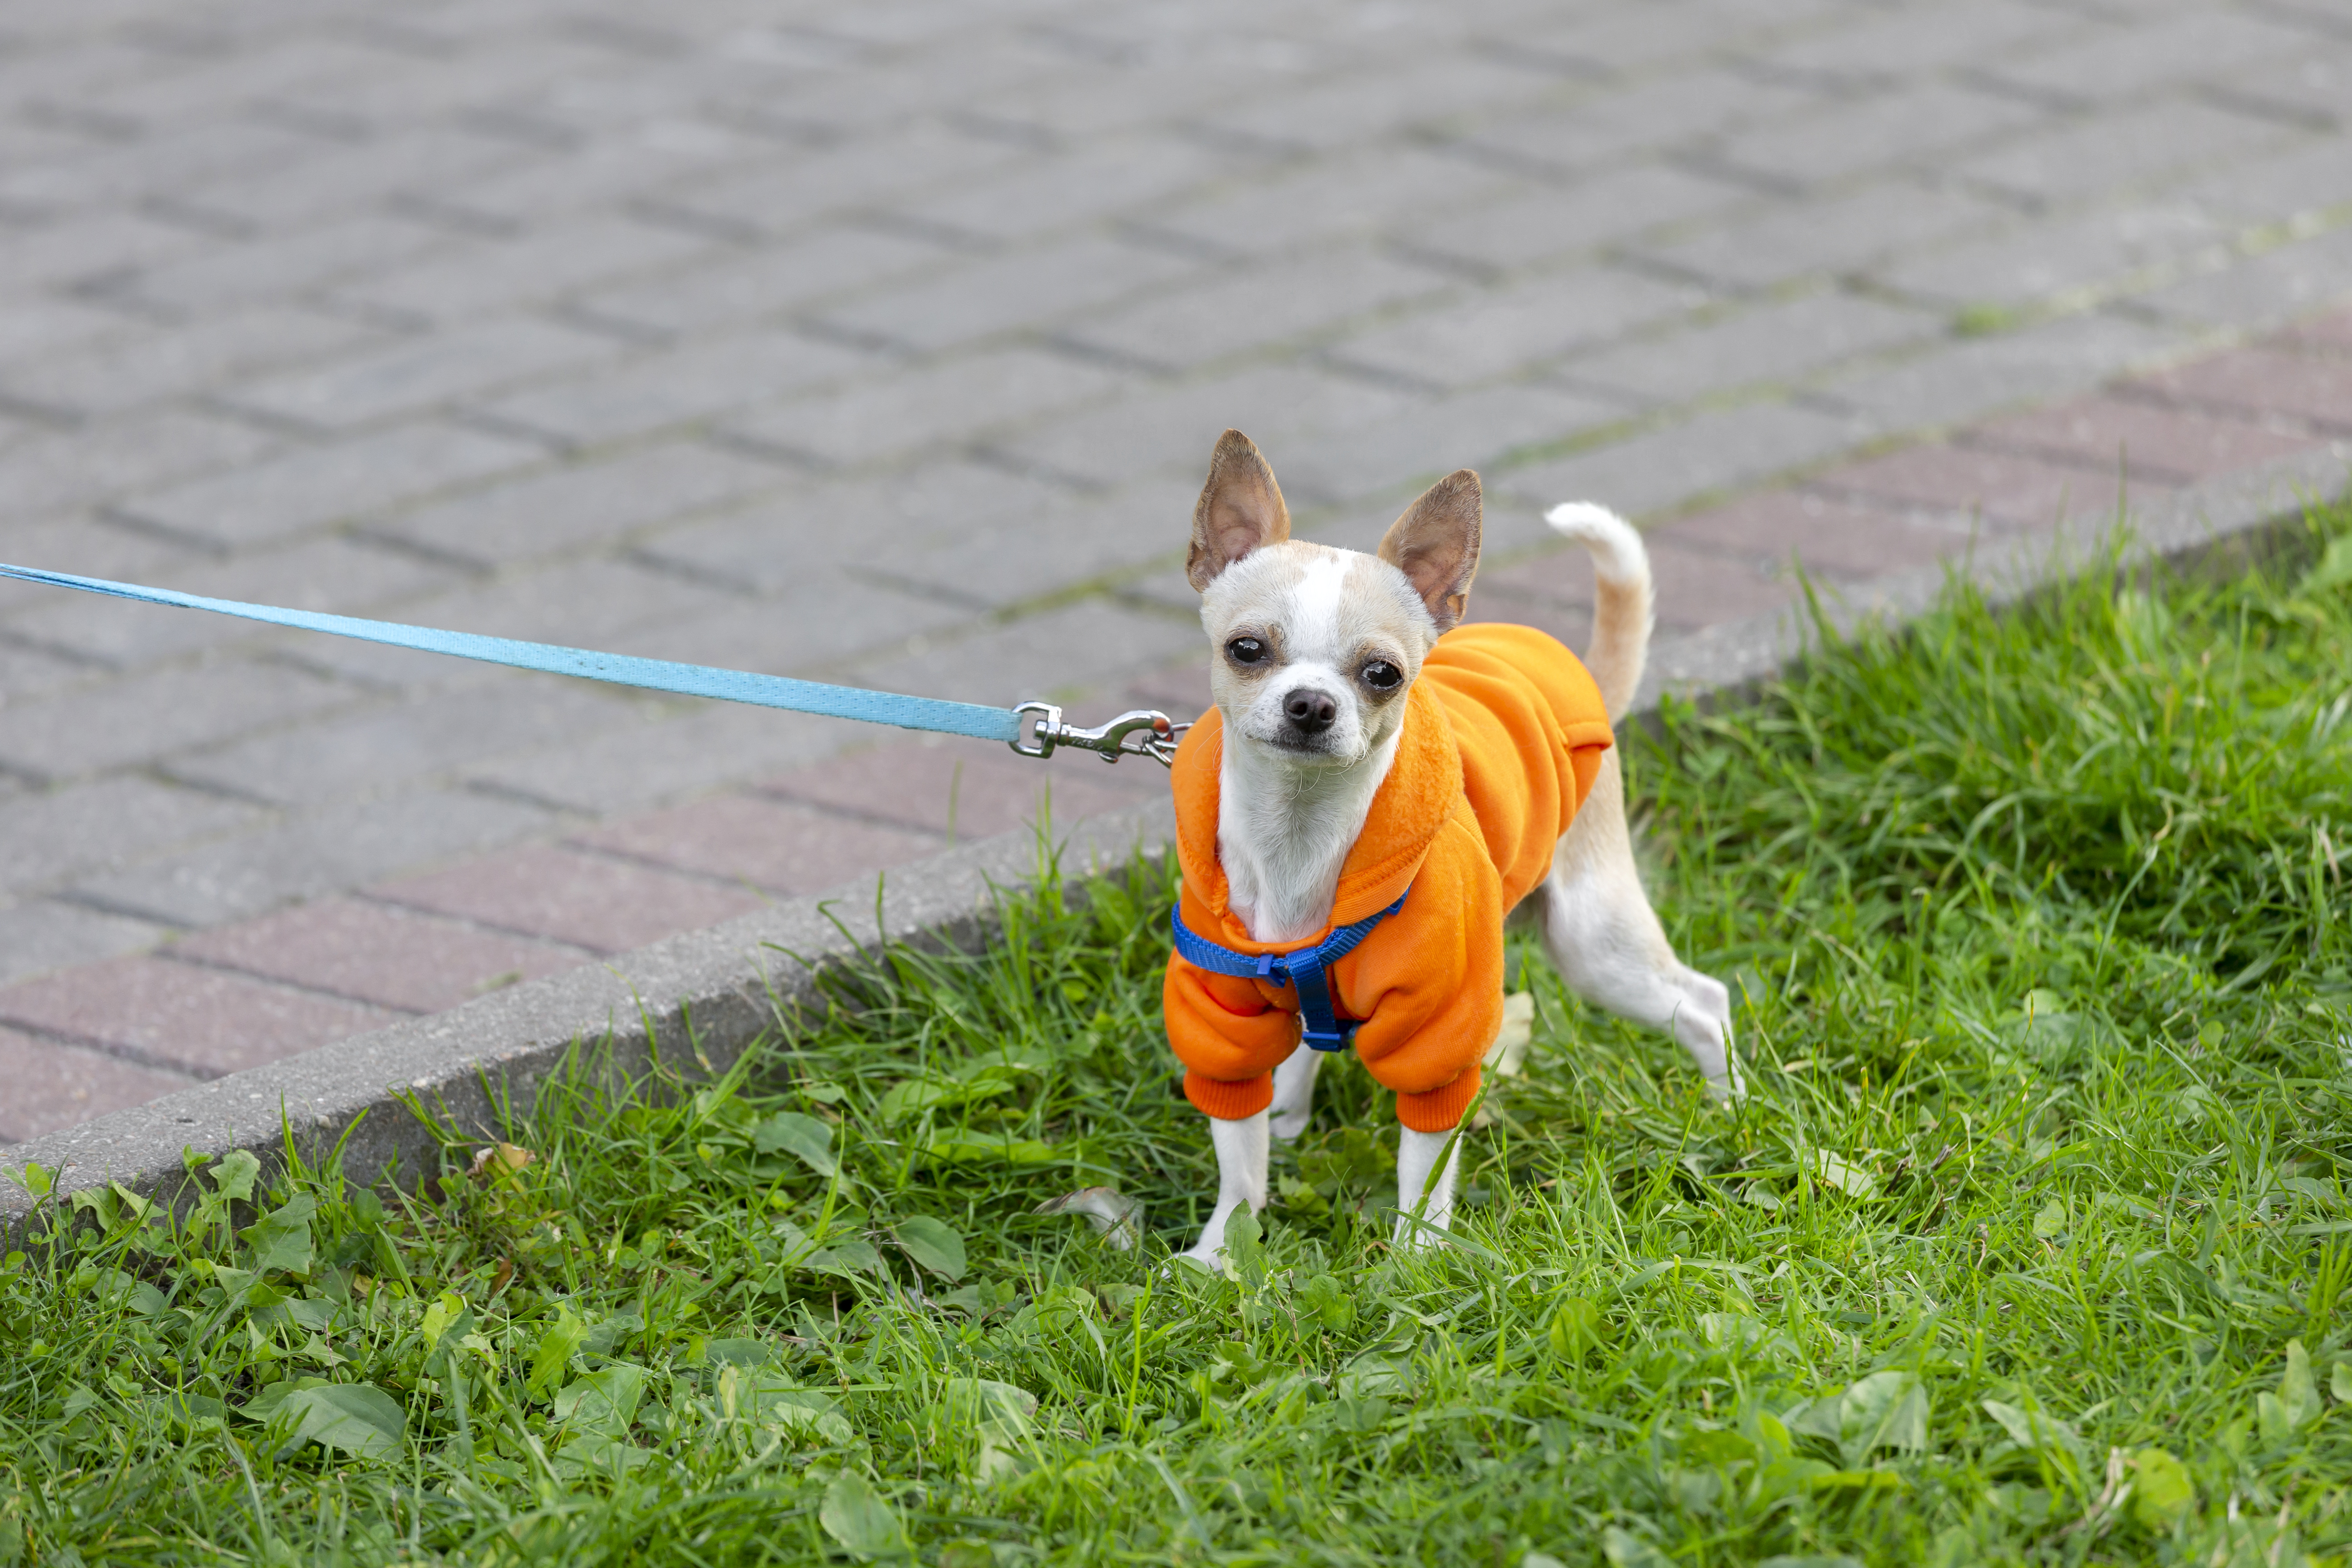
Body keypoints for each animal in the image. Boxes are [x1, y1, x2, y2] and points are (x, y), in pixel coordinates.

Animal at [1166, 435, 1740, 1269]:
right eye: (1246, 649)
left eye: (1382, 674)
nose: (1311, 704)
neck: (1301, 842)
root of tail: (1588, 687)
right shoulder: (1223, 1023)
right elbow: (1238, 1159)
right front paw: (1222, 1256)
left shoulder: (1438, 1036)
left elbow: (1424, 1168)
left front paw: (1415, 1260)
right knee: (1305, 1045)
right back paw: (1288, 1119)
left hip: (1594, 945)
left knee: (1702, 1003)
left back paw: (1730, 1110)